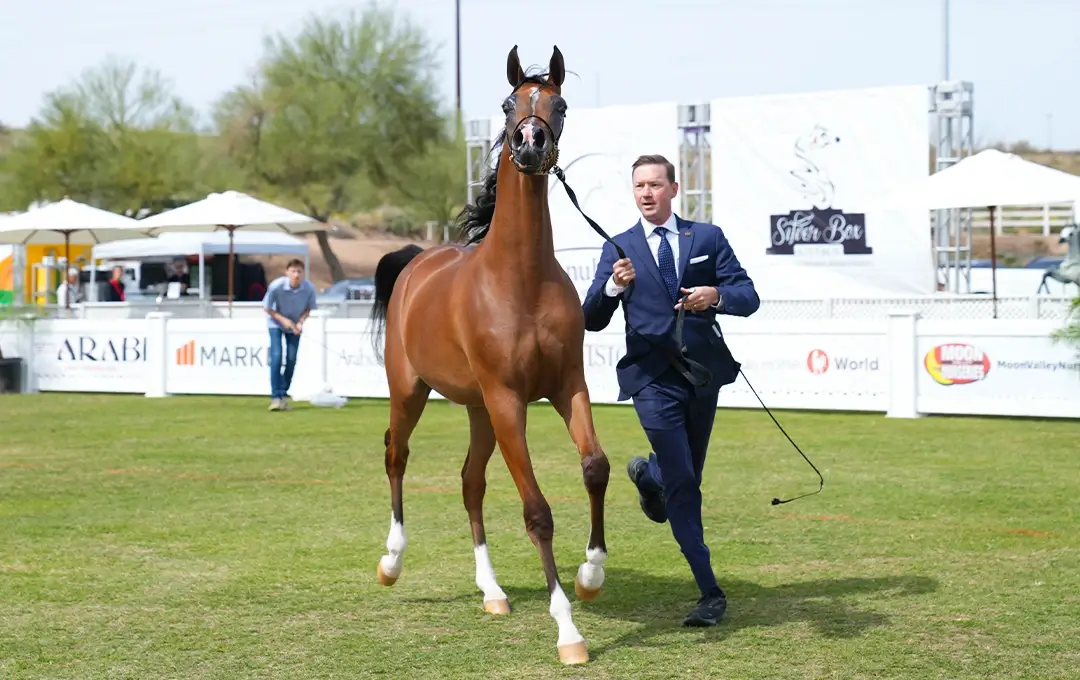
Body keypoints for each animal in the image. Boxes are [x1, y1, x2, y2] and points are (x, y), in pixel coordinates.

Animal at [367, 45, 610, 666]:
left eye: (560, 104)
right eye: (507, 104)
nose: (529, 144)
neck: (519, 281)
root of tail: (415, 261)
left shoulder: (567, 386)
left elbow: (594, 468)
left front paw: (591, 574)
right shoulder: (509, 402)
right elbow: (538, 512)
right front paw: (568, 632)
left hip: (478, 411)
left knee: (469, 482)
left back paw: (493, 592)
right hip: (412, 392)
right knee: (396, 456)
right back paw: (391, 562)